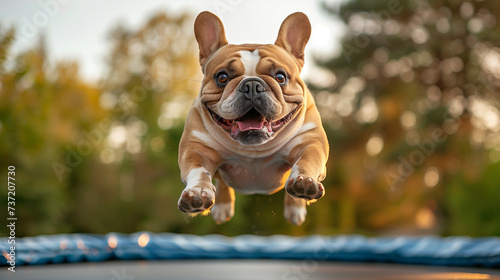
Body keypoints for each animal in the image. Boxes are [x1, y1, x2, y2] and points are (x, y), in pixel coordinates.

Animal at [178, 10, 330, 226]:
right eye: (222, 77)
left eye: (280, 77)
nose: (251, 85)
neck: (254, 150)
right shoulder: (196, 149)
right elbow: (198, 170)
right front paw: (198, 192)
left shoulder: (311, 142)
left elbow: (308, 160)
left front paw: (304, 182)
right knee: (222, 183)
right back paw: (222, 207)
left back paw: (296, 208)